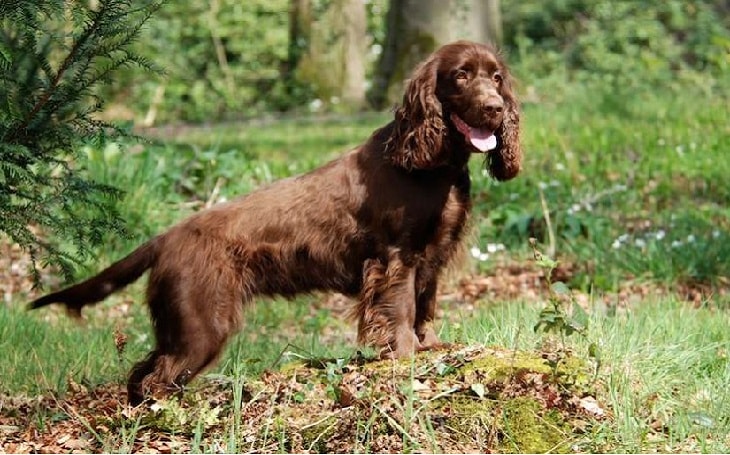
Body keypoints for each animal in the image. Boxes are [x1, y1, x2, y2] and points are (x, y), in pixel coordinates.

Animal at [28, 39, 516, 404]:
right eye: (460, 76)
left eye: (496, 78)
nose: (495, 108)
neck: (433, 165)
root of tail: (165, 237)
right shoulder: (397, 257)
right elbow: (400, 308)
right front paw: (407, 355)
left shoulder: (432, 257)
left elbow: (425, 306)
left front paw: (431, 346)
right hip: (202, 324)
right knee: (157, 377)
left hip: (181, 325)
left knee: (143, 372)